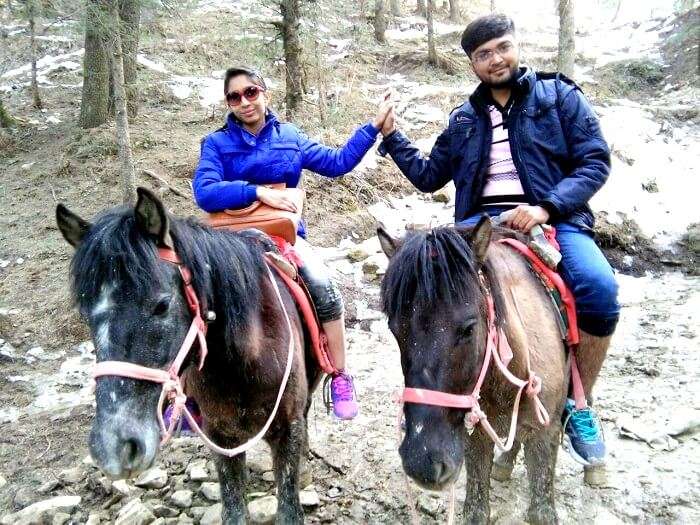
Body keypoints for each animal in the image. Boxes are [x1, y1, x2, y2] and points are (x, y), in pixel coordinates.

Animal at [57, 189, 320, 524]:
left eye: (162, 305)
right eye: (85, 314)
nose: (114, 448)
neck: (242, 363)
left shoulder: (287, 429)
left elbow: (289, 506)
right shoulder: (222, 437)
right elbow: (234, 510)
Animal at [378, 215, 568, 520]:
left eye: (468, 328)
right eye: (395, 330)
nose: (423, 462)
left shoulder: (544, 434)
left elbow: (541, 511)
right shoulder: (474, 438)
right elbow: (476, 510)